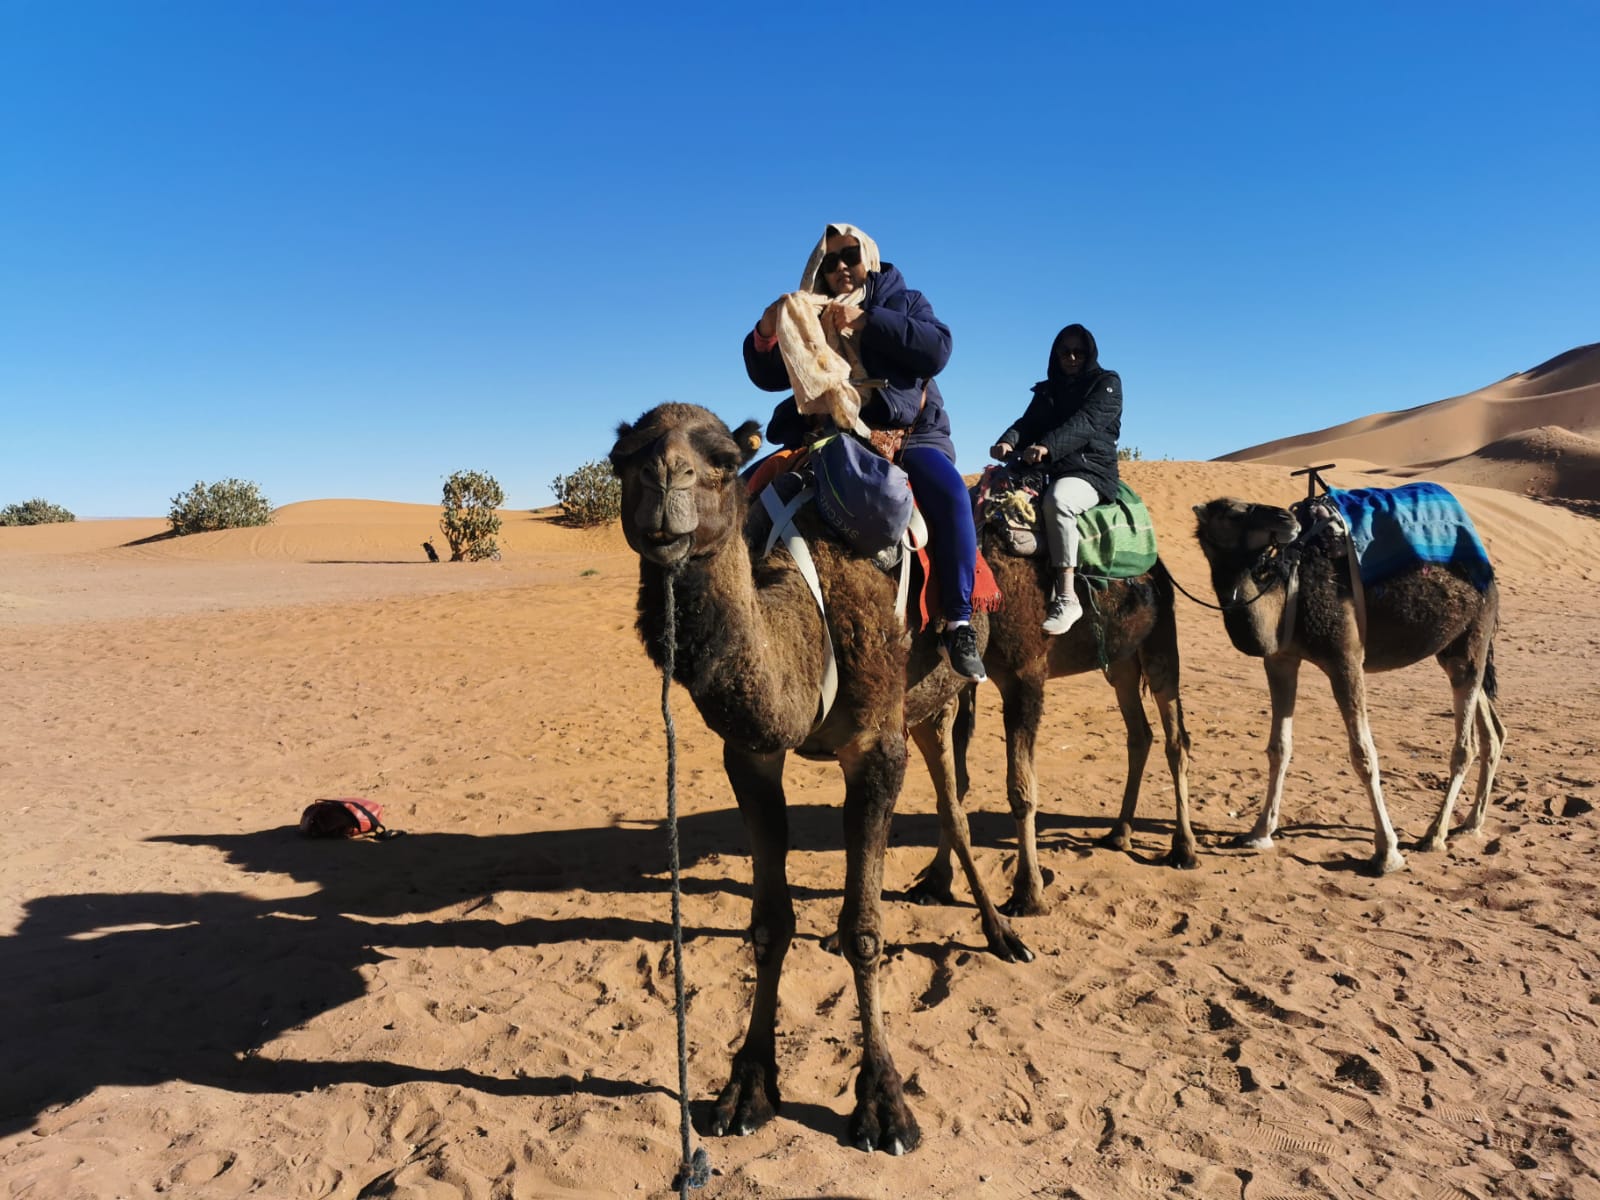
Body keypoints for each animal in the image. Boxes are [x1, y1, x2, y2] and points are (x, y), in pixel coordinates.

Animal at [604, 404, 1030, 1158]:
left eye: (722, 462)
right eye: (621, 460)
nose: (663, 481)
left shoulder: (876, 747)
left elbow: (866, 928)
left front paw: (885, 1107)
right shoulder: (750, 755)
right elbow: (770, 923)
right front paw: (746, 1088)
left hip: (935, 700)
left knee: (954, 806)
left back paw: (1002, 932)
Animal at [921, 534, 1196, 921]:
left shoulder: (1025, 676)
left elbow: (1021, 790)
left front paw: (1027, 894)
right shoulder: (966, 681)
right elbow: (956, 785)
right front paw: (935, 882)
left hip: (1160, 640)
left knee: (1176, 739)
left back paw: (1183, 849)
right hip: (1121, 661)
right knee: (1140, 734)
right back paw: (1118, 833)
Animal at [1196, 492, 1504, 876]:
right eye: (1233, 514)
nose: (1285, 519)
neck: (1284, 597)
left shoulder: (1345, 657)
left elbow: (1363, 755)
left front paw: (1387, 853)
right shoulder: (1281, 659)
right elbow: (1279, 747)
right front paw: (1258, 832)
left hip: (1473, 636)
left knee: (1466, 745)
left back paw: (1434, 835)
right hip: (1453, 650)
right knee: (1493, 733)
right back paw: (1470, 824)